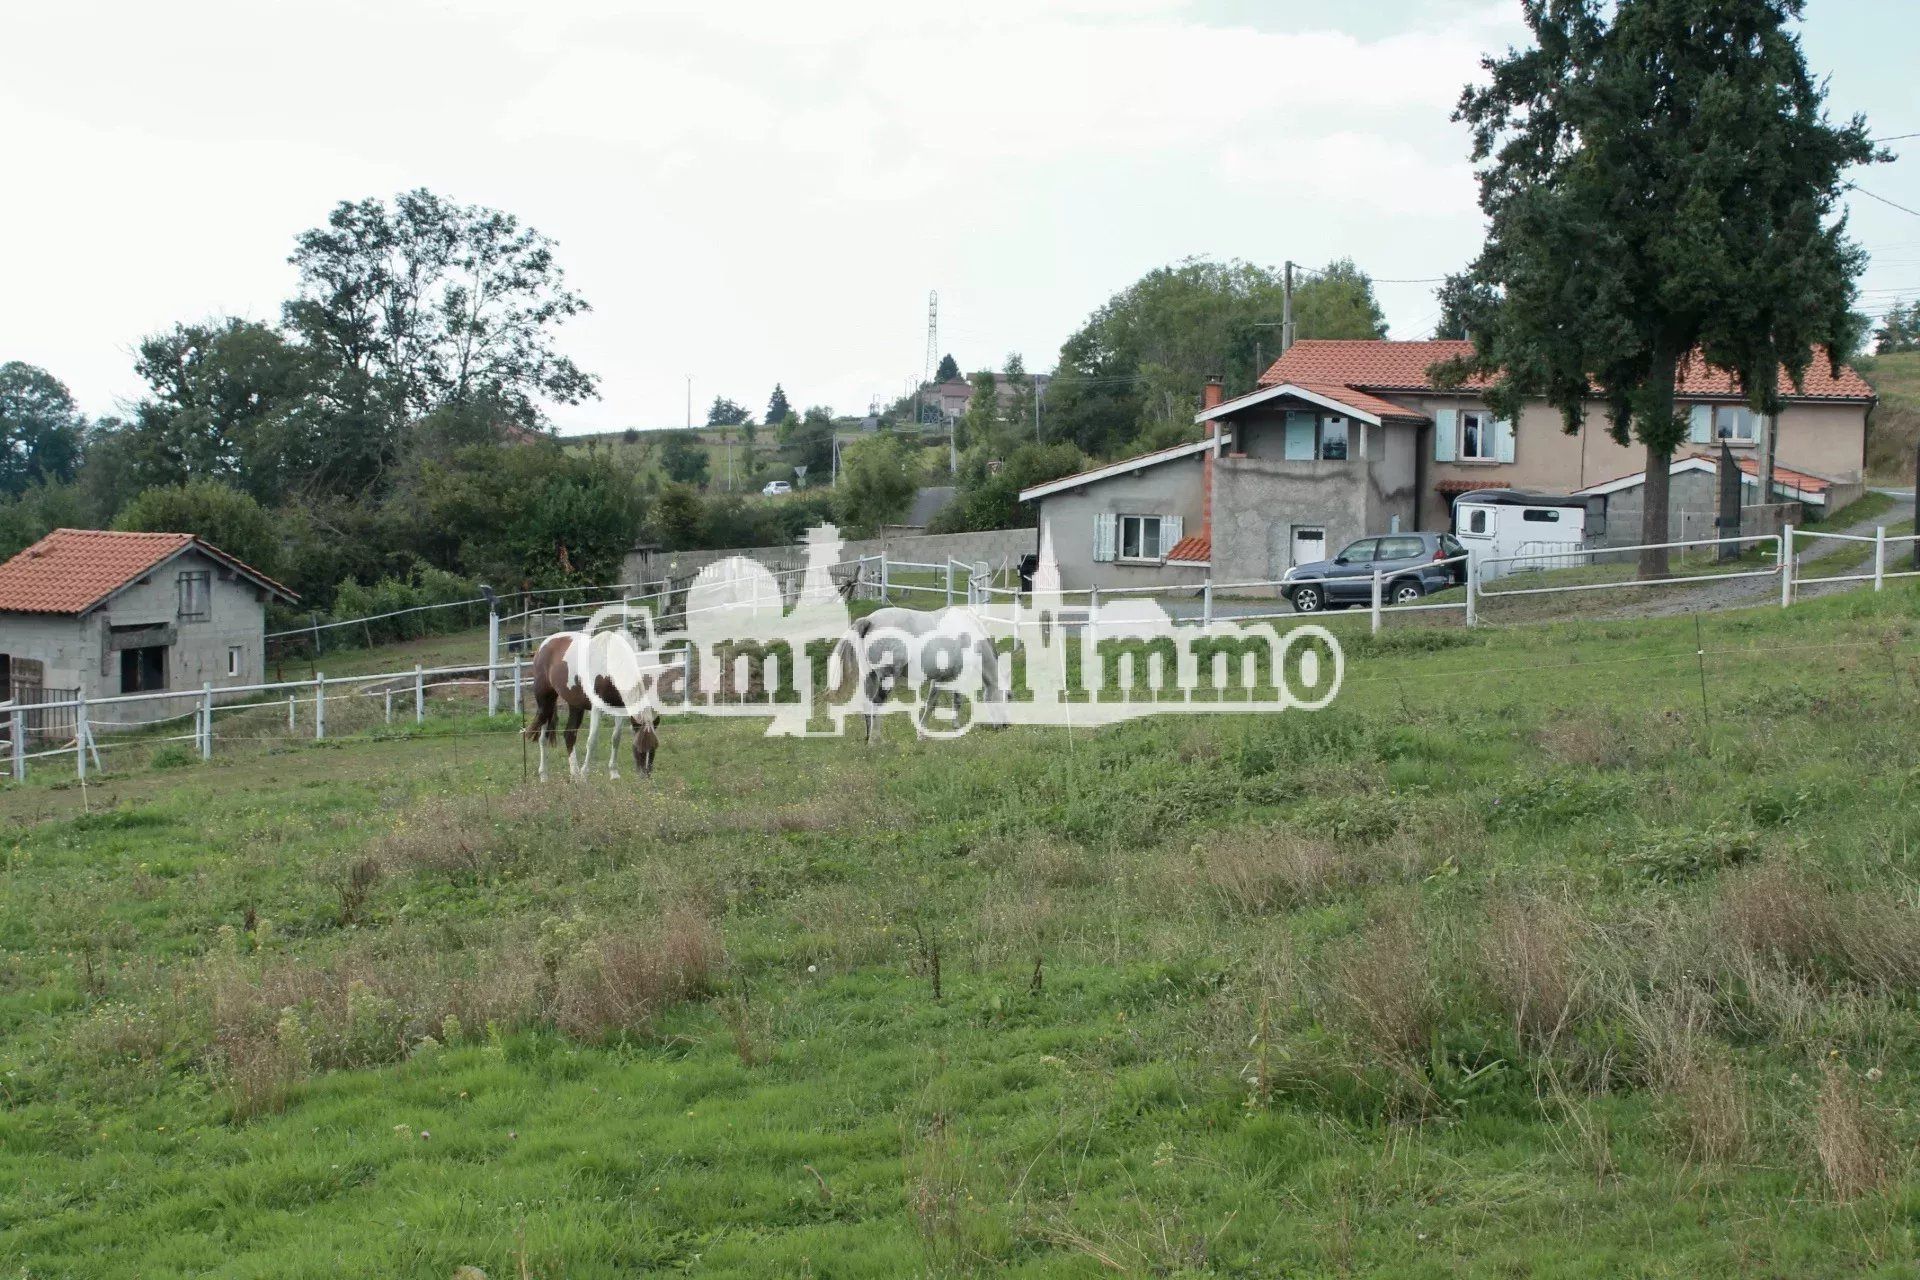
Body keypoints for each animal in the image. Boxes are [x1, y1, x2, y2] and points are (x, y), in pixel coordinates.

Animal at [526, 629, 660, 782]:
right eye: (638, 748)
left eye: (654, 748)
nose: (646, 776)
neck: (609, 665)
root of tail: (544, 645)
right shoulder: (597, 708)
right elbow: (592, 740)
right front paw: (585, 774)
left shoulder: (619, 708)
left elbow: (616, 738)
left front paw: (614, 773)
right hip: (545, 701)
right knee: (543, 738)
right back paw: (544, 776)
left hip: (575, 705)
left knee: (569, 734)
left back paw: (574, 773)